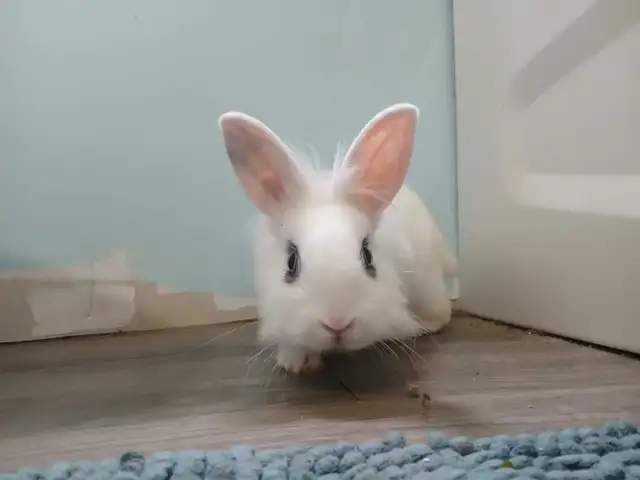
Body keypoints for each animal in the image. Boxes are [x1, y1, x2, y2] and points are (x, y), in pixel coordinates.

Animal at [218, 103, 457, 374]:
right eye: (291, 262)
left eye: (368, 256)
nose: (337, 323)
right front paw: (295, 363)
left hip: (427, 286)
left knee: (443, 313)